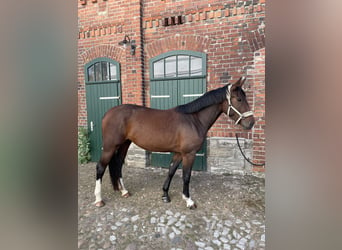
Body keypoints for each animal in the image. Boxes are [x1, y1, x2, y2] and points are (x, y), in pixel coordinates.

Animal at [93, 76, 254, 209]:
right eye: (239, 99)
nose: (251, 122)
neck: (193, 119)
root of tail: (108, 113)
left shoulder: (178, 153)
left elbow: (171, 171)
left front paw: (165, 195)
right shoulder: (189, 154)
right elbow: (186, 176)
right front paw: (189, 200)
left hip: (124, 144)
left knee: (118, 165)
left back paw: (124, 191)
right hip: (109, 147)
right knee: (100, 167)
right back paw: (99, 199)